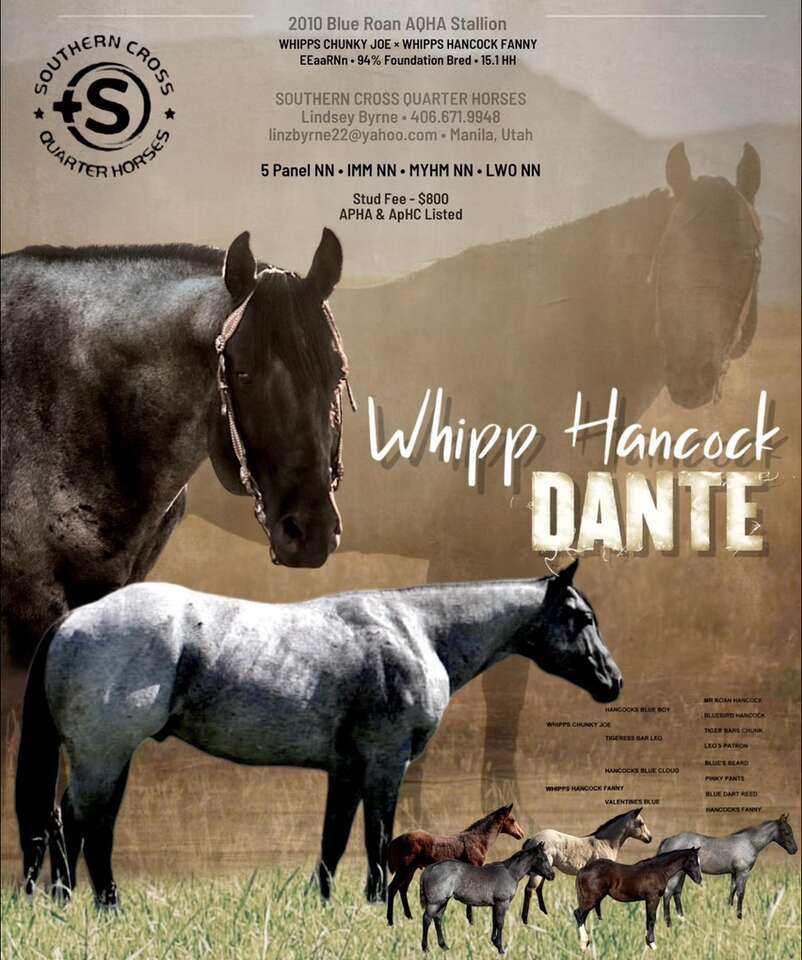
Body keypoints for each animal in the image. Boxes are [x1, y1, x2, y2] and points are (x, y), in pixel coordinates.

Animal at [15, 558, 621, 908]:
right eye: (581, 617)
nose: (612, 682)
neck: (417, 631)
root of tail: (74, 620)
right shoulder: (385, 763)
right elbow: (378, 835)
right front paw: (377, 901)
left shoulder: (346, 771)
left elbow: (334, 840)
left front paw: (327, 901)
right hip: (105, 754)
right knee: (80, 822)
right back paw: (90, 902)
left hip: (105, 757)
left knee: (78, 823)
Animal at [387, 803, 524, 926]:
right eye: (513, 820)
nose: (521, 834)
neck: (477, 840)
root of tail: (393, 842)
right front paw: (471, 921)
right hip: (403, 870)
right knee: (392, 888)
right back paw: (390, 921)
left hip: (411, 869)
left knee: (402, 889)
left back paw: (409, 917)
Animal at [420, 842, 554, 954]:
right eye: (543, 859)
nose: (552, 875)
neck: (510, 873)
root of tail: (429, 868)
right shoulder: (502, 903)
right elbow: (500, 923)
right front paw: (501, 948)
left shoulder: (495, 905)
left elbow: (494, 922)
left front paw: (494, 942)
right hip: (434, 903)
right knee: (427, 919)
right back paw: (425, 948)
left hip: (443, 901)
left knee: (438, 919)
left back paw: (444, 946)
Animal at [520, 807, 653, 921]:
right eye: (641, 823)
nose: (650, 838)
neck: (606, 843)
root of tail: (531, 839)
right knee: (529, 889)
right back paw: (525, 919)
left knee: (538, 889)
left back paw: (545, 912)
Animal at [659, 814, 797, 924]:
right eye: (786, 831)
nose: (794, 850)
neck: (750, 843)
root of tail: (668, 840)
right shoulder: (743, 873)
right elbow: (740, 894)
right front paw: (740, 917)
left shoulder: (734, 874)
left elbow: (732, 893)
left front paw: (729, 915)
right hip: (675, 875)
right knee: (668, 894)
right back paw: (668, 922)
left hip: (682, 873)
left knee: (676, 893)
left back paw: (682, 919)